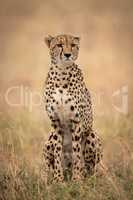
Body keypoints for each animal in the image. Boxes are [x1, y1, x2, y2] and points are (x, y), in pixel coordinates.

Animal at [41, 34, 103, 183]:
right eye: (59, 45)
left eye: (73, 45)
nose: (68, 54)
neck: (61, 73)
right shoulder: (56, 122)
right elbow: (57, 152)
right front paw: (58, 179)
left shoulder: (77, 121)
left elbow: (76, 153)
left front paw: (77, 179)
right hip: (48, 141)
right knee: (49, 166)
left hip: (91, 134)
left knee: (90, 167)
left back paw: (87, 176)